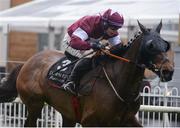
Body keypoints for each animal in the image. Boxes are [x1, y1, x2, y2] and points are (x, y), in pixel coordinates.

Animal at [0, 21, 174, 127]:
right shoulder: (90, 121)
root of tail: (26, 63)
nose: (169, 71)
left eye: (165, 44)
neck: (119, 83)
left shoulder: (127, 120)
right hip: (34, 104)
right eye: (150, 46)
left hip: (67, 113)